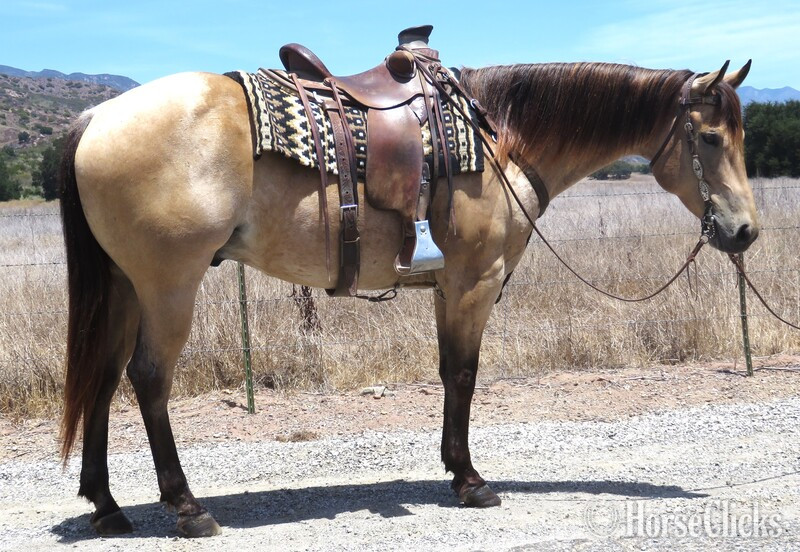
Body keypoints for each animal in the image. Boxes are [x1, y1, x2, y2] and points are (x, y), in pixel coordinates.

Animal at [58, 57, 758, 537]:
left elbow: (450, 374)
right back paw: (186, 506)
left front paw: (454, 469)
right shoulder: (474, 282)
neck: (502, 137)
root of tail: (96, 119)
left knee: (101, 380)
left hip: (124, 287)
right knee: (147, 379)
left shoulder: (450, 287)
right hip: (168, 286)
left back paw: (107, 506)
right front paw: (472, 481)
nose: (745, 231)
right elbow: (465, 375)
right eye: (712, 139)